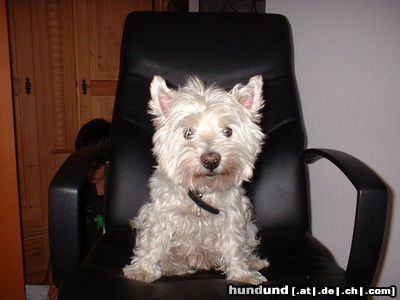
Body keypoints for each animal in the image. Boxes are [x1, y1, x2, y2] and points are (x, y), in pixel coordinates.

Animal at [122, 74, 268, 284]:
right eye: (188, 133)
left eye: (228, 131)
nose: (211, 160)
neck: (202, 189)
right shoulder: (161, 214)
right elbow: (153, 241)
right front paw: (142, 270)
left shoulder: (233, 216)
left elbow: (234, 246)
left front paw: (242, 274)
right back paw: (173, 268)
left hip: (249, 227)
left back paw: (254, 262)